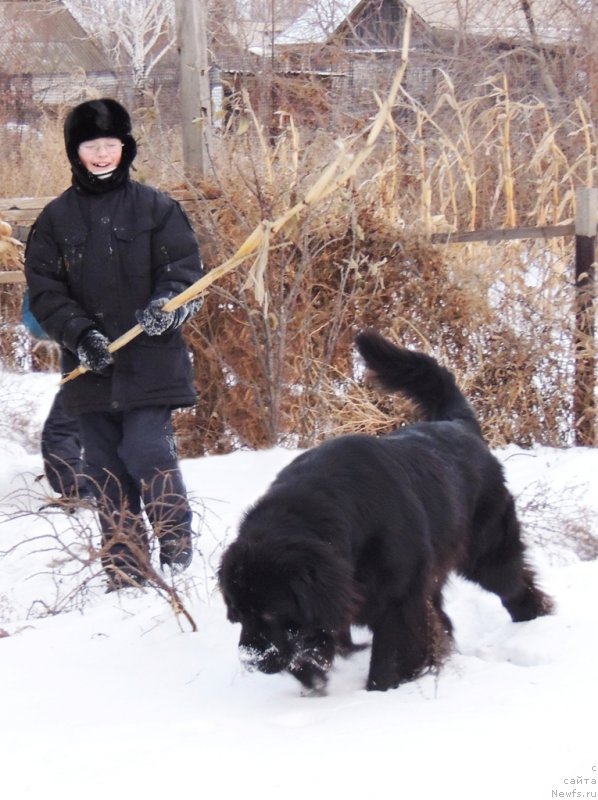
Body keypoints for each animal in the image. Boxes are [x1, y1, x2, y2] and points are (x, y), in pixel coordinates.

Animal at [218, 332, 556, 692]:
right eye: (237, 614)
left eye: (270, 613)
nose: (251, 661)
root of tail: (459, 425)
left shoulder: (397, 600)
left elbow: (390, 654)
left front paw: (379, 691)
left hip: (486, 551)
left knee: (513, 583)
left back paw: (531, 622)